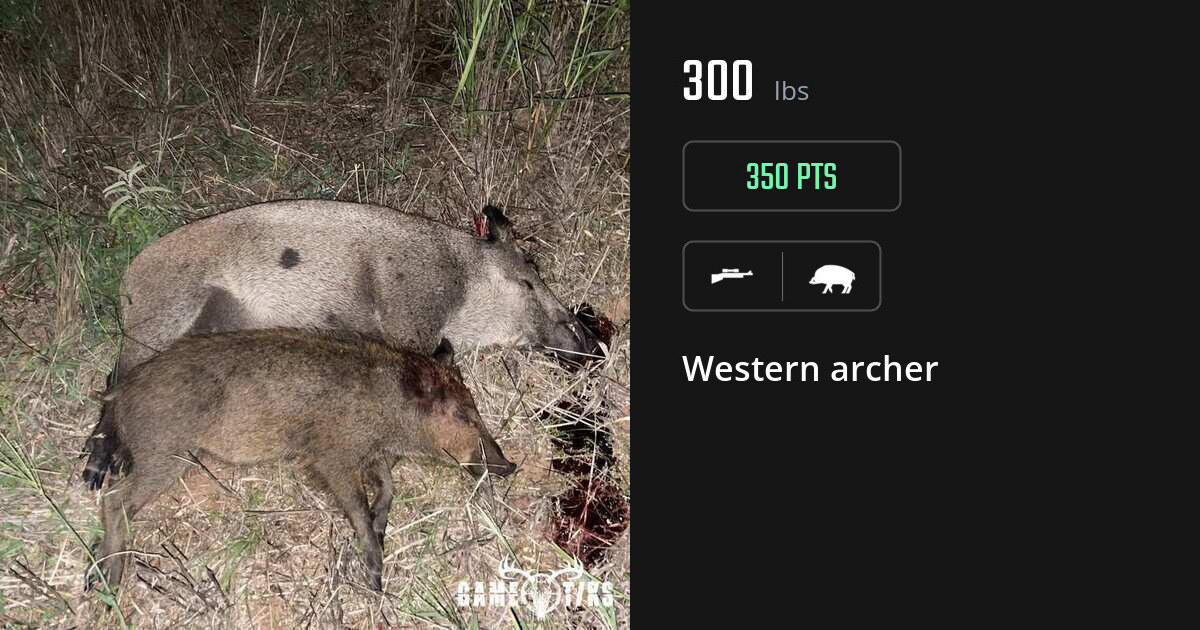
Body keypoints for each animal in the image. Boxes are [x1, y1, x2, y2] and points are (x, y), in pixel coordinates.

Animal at [84, 200, 598, 489]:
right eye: (528, 279)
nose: (592, 344)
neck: (461, 284)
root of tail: (127, 281)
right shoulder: (410, 315)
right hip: (160, 316)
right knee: (114, 379)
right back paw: (96, 475)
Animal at [84, 328, 515, 592]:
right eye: (461, 414)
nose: (509, 466)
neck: (387, 408)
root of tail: (121, 391)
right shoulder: (331, 457)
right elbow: (357, 506)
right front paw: (375, 578)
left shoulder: (368, 455)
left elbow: (388, 487)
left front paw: (381, 527)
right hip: (166, 453)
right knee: (115, 500)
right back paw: (107, 580)